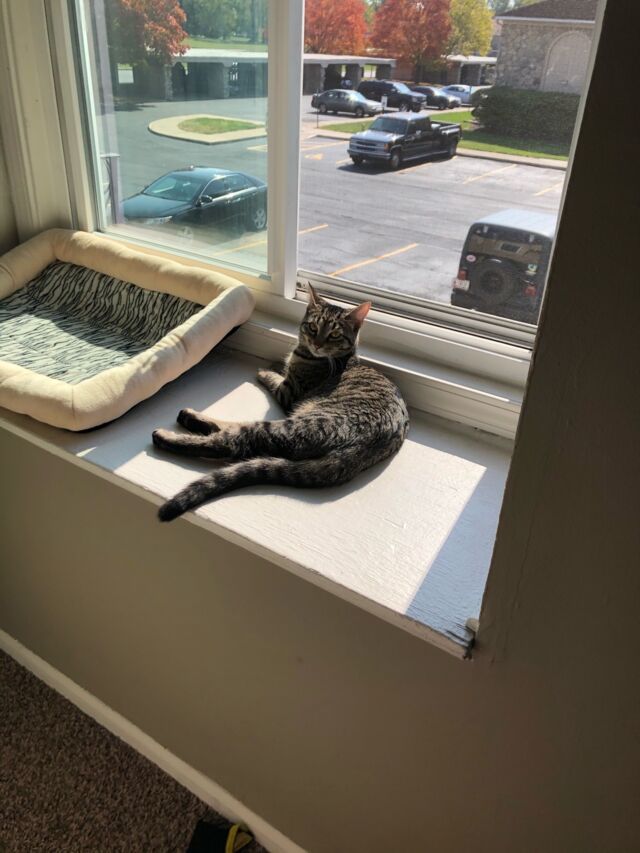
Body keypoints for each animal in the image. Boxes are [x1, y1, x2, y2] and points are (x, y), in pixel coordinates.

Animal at [152, 285, 410, 521]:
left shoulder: (289, 391)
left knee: (232, 442)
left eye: (335, 335)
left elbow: (276, 378)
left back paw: (171, 431)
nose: (317, 343)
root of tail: (361, 450)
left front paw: (267, 369)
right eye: (313, 327)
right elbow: (281, 369)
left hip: (291, 426)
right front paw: (277, 363)